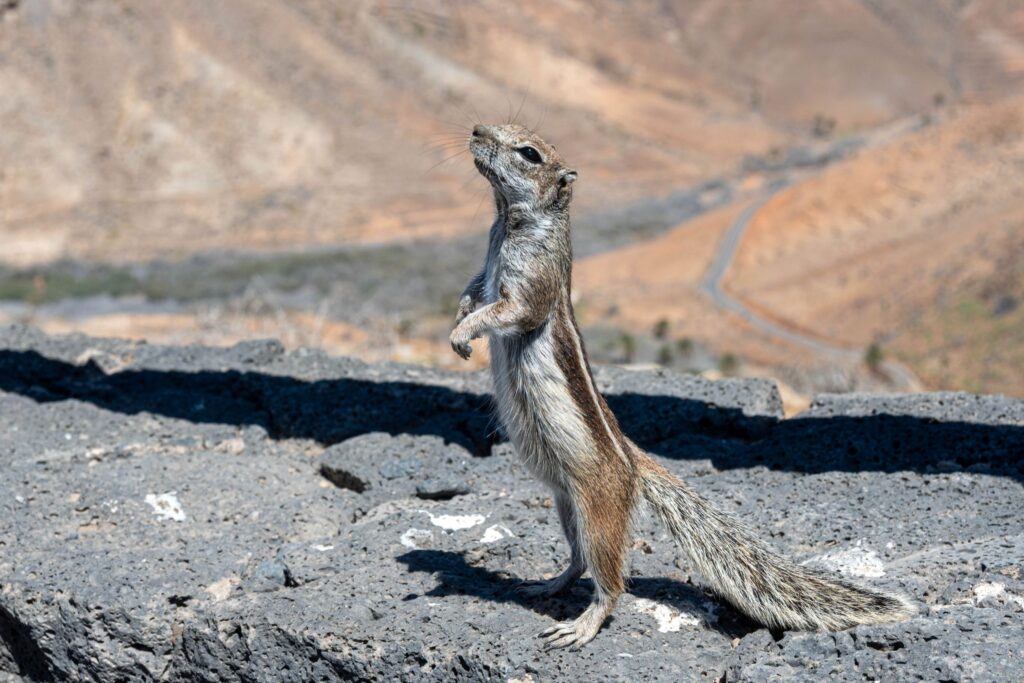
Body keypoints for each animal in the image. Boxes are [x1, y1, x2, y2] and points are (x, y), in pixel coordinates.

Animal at [449, 123, 914, 649]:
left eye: (529, 153)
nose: (476, 129)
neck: (508, 220)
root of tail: (635, 463)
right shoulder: (485, 265)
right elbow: (472, 289)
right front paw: (459, 319)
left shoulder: (531, 286)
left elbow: (508, 311)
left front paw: (463, 334)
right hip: (568, 505)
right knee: (578, 560)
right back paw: (547, 584)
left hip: (599, 511)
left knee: (612, 580)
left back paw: (581, 626)